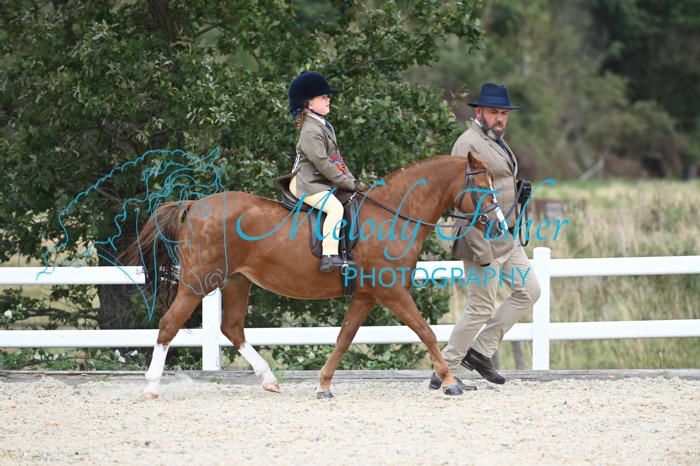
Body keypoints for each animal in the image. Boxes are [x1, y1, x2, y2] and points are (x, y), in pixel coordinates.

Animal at [122, 151, 503, 399]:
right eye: (482, 189)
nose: (499, 225)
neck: (394, 214)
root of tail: (193, 204)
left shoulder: (366, 296)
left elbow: (344, 338)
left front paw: (323, 385)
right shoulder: (392, 292)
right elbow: (425, 331)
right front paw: (450, 381)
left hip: (236, 281)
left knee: (231, 328)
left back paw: (269, 380)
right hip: (198, 282)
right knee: (169, 325)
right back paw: (151, 387)